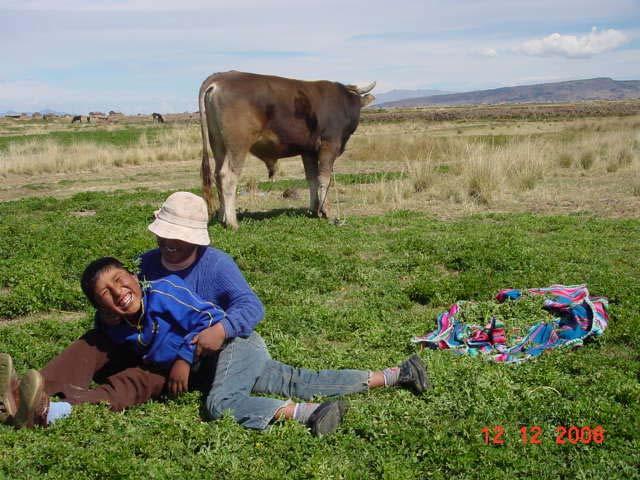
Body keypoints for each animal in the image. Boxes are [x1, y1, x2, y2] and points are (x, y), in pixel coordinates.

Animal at [198, 70, 372, 230]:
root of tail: (221, 77)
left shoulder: (308, 151)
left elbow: (312, 179)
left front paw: (313, 210)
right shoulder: (329, 145)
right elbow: (324, 179)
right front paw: (326, 211)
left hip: (218, 144)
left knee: (217, 176)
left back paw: (222, 217)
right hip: (238, 145)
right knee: (228, 177)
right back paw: (232, 222)